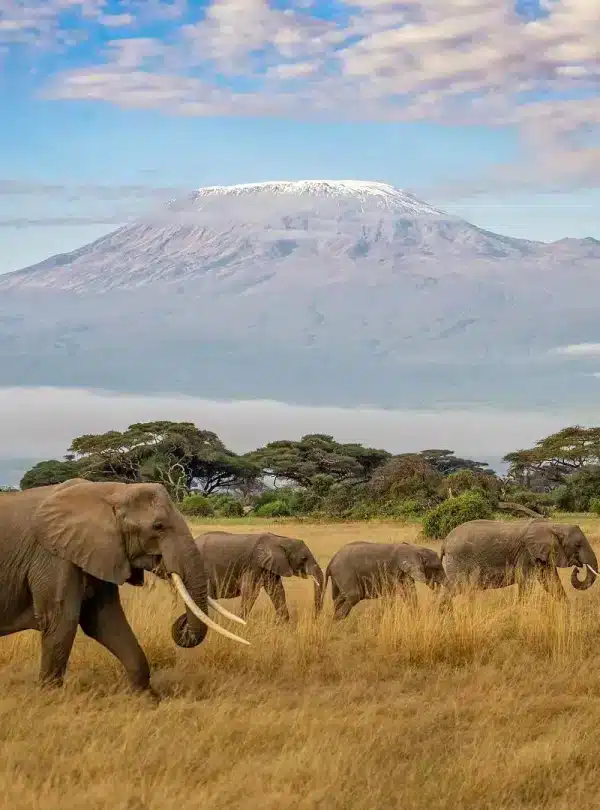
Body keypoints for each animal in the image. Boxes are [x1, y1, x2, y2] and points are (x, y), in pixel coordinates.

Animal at [0, 479, 249, 694]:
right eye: (158, 526)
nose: (181, 621)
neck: (110, 491)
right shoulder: (54, 557)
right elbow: (61, 621)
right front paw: (50, 698)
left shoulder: (100, 552)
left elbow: (106, 622)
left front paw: (146, 699)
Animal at [193, 530, 324, 621]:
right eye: (303, 558)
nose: (315, 618)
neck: (280, 540)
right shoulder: (253, 565)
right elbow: (250, 591)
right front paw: (242, 622)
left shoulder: (270, 565)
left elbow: (277, 590)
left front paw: (284, 623)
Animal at [440, 518, 599, 602]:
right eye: (578, 545)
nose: (578, 569)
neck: (555, 526)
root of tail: (445, 541)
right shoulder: (526, 554)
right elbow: (526, 583)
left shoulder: (543, 556)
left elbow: (551, 582)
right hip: (459, 562)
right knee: (455, 588)